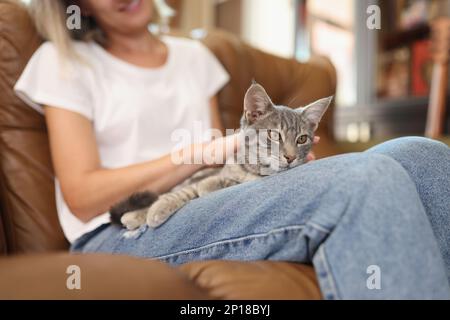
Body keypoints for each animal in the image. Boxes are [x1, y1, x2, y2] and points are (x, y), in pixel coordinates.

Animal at [110, 82, 332, 230]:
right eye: (274, 135)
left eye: (302, 139)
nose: (290, 157)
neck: (253, 168)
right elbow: (183, 191)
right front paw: (154, 210)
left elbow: (220, 184)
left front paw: (212, 185)